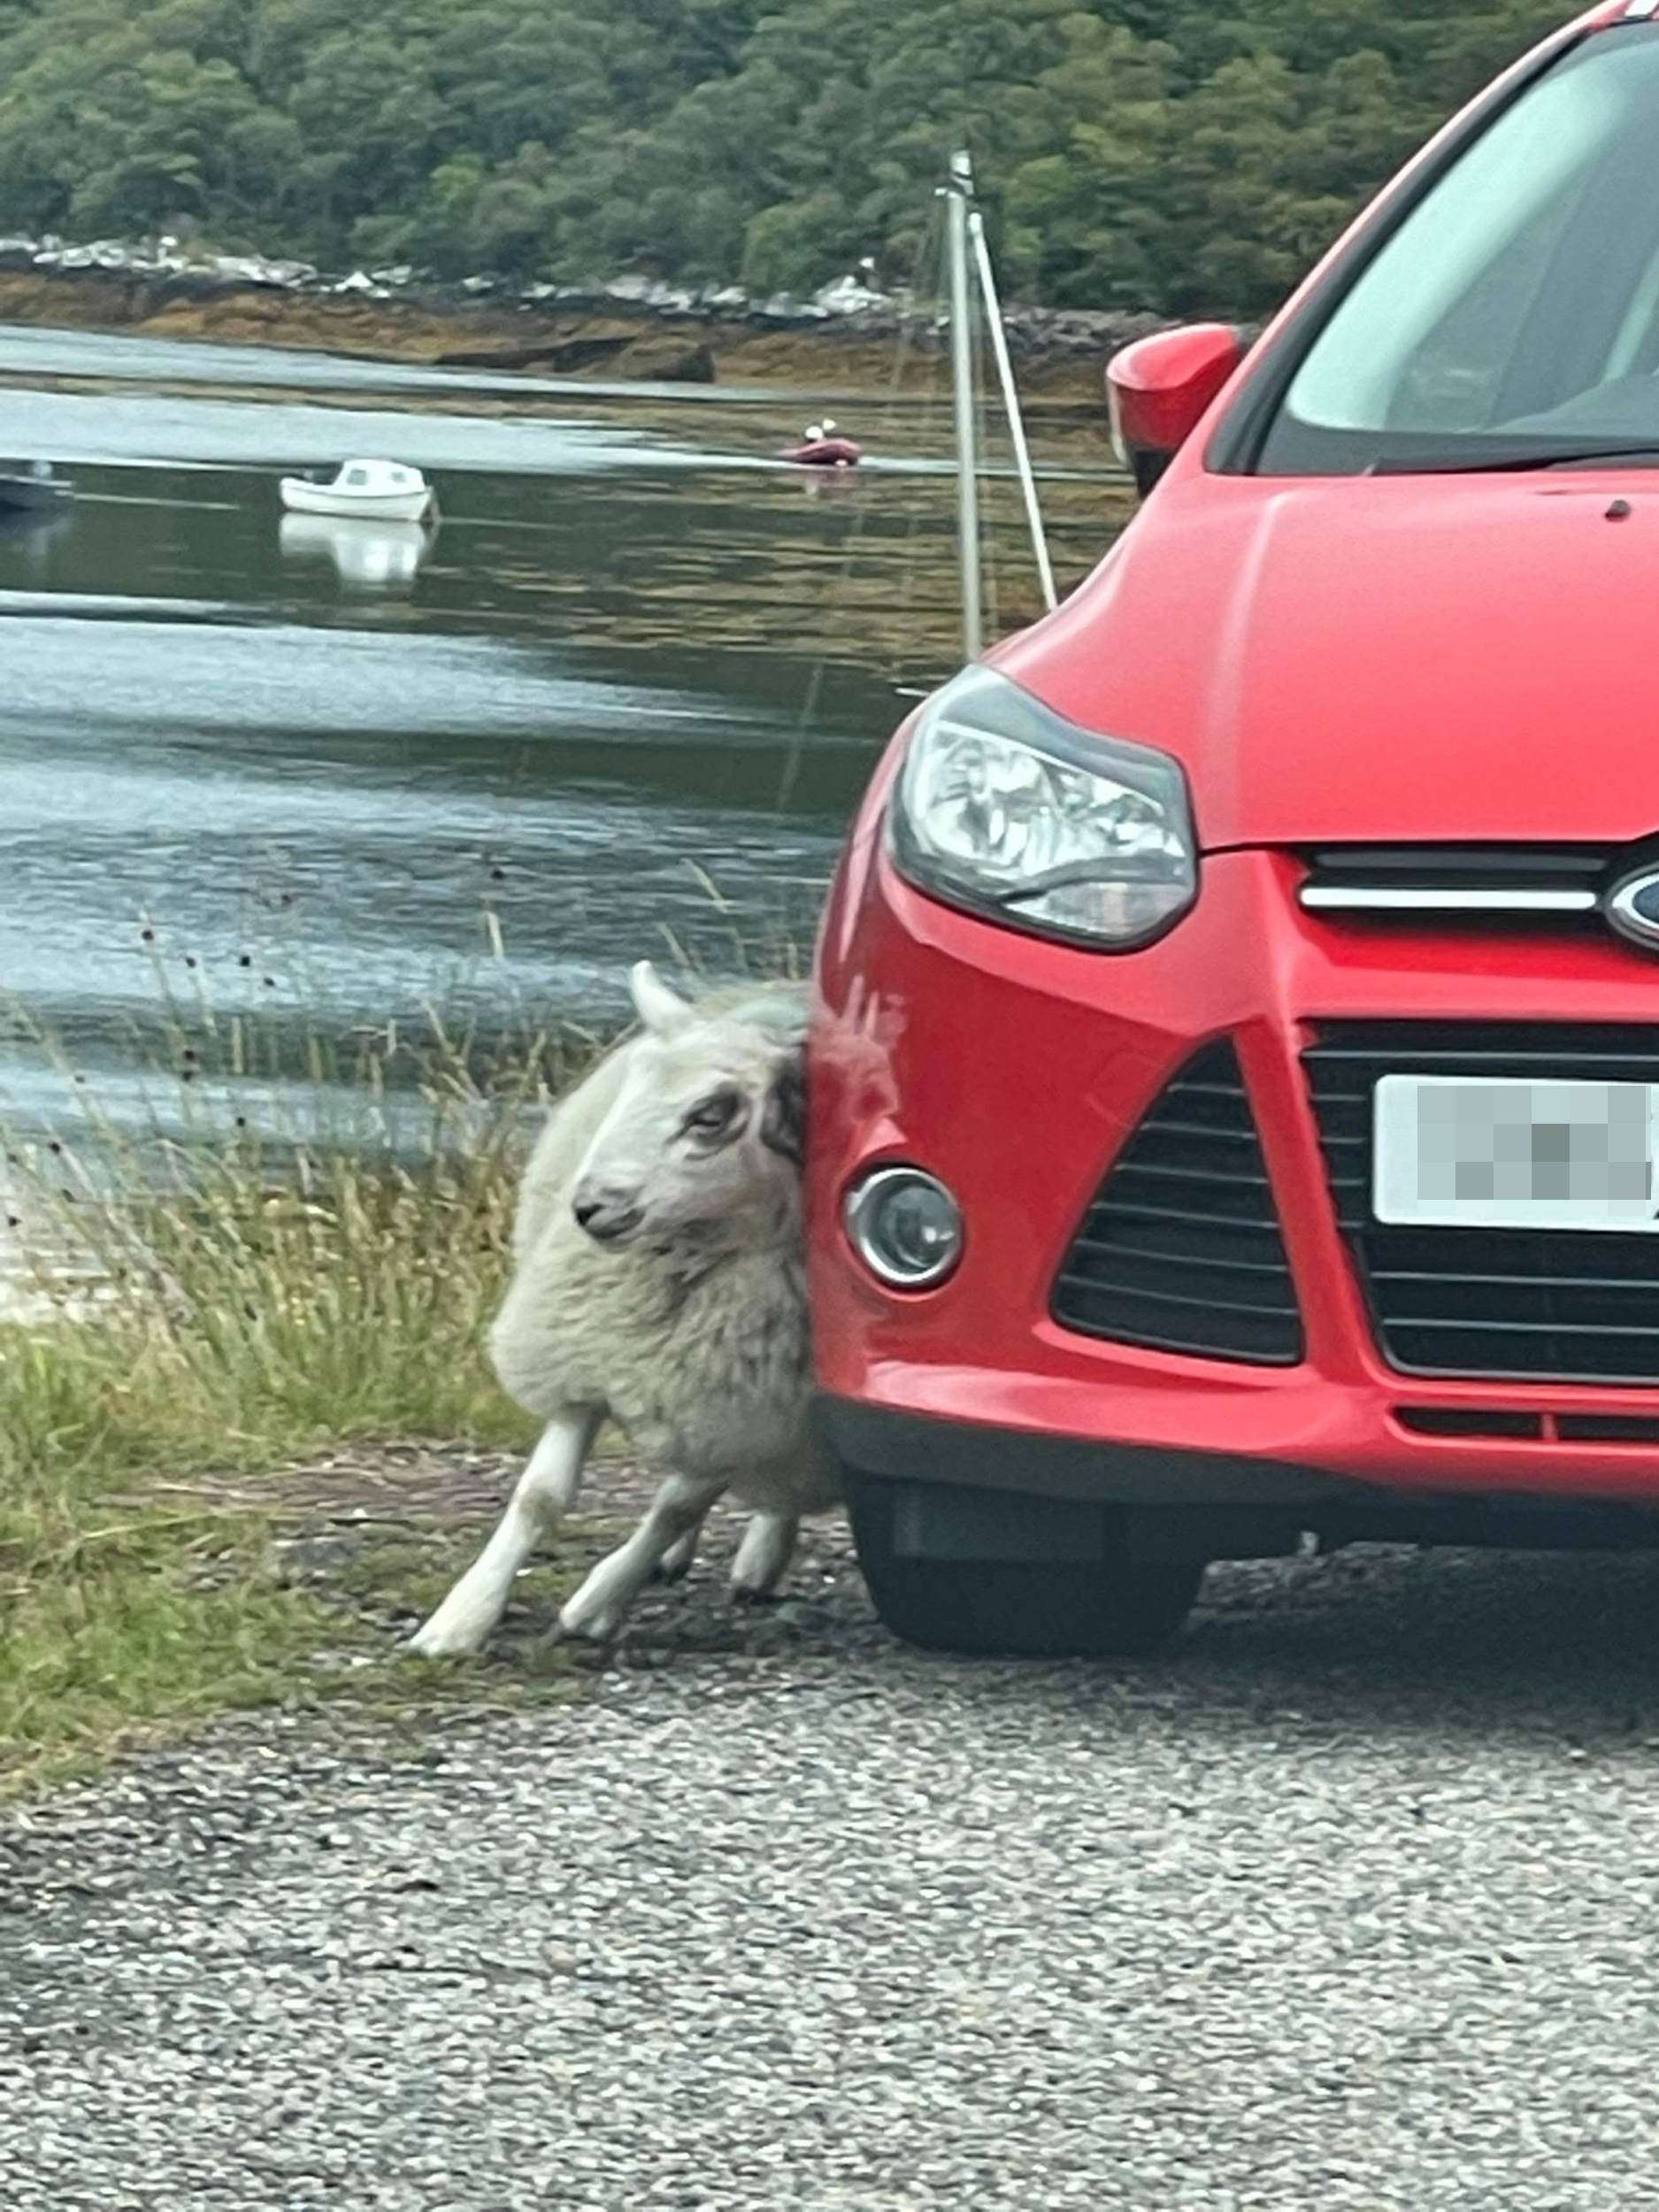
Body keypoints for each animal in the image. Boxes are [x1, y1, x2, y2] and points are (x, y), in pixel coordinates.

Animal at [409, 961, 838, 1657]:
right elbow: (539, 1498)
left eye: (711, 1115)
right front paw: (460, 1619)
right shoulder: (593, 1355)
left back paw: (758, 1557)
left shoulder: (757, 1402)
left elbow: (676, 1506)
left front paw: (596, 1606)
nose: (588, 1208)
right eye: (634, 1086)